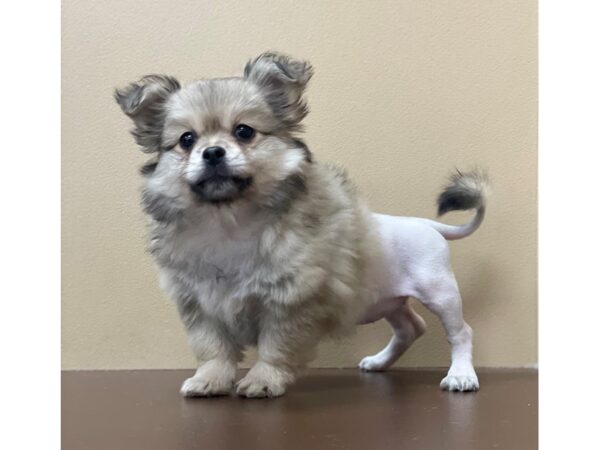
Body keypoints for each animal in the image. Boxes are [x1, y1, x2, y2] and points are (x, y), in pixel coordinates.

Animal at [116, 52, 488, 398]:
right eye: (187, 140)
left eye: (244, 132)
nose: (212, 152)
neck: (228, 222)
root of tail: (428, 225)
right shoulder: (201, 306)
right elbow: (213, 350)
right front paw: (210, 381)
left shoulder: (289, 303)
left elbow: (274, 347)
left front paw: (264, 381)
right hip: (388, 300)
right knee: (411, 327)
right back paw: (379, 362)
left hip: (440, 293)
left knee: (461, 332)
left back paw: (461, 376)